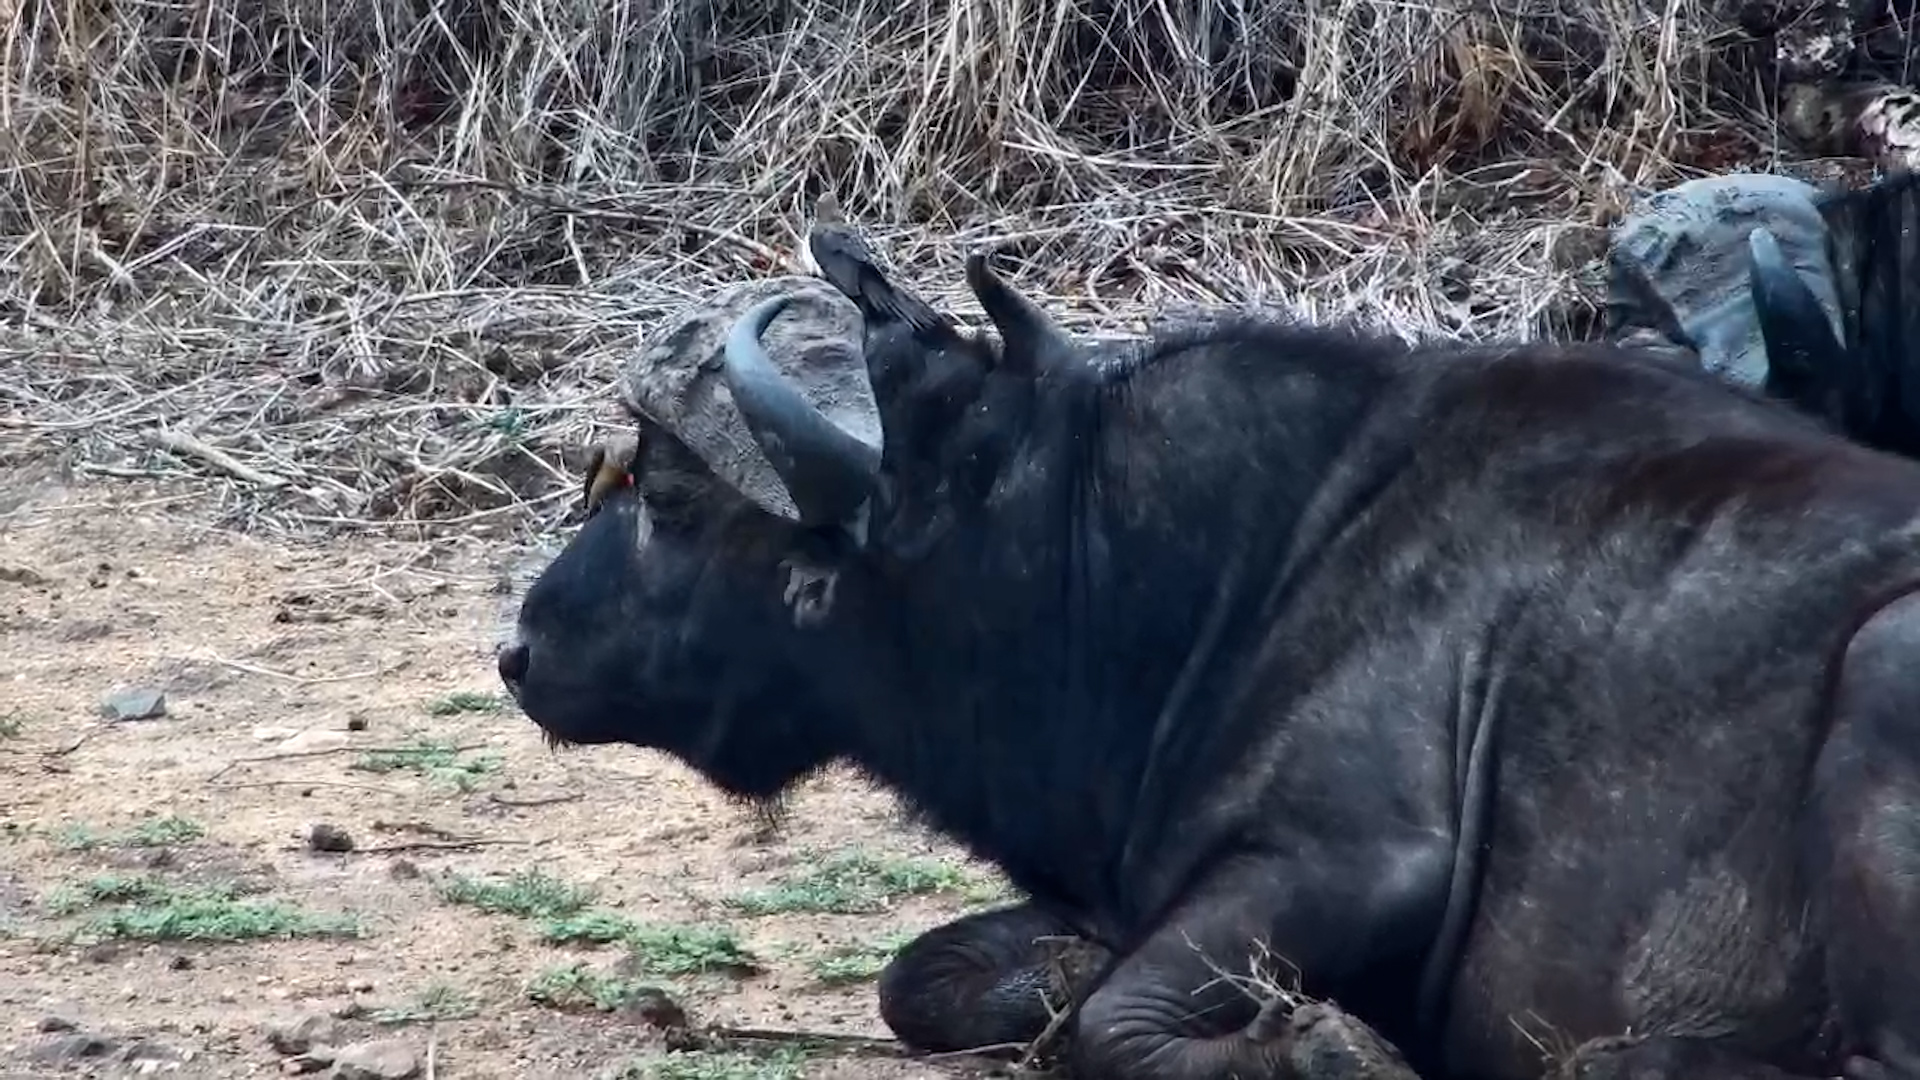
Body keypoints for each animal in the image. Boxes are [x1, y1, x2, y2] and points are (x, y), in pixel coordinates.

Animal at [500, 230, 1920, 1080]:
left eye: (669, 496)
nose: (519, 650)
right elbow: (928, 979)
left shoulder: (1352, 862)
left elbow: (1116, 1023)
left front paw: (1314, 1049)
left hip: (1883, 674)